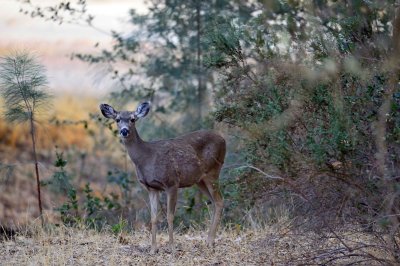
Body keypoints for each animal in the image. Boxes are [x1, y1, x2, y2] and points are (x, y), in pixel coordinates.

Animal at [99, 102, 227, 254]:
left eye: (133, 119)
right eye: (117, 119)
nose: (124, 131)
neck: (146, 158)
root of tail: (223, 139)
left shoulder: (171, 182)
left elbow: (170, 216)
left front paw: (171, 247)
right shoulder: (151, 188)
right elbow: (154, 217)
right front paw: (153, 249)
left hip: (213, 170)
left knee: (219, 201)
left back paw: (210, 241)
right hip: (200, 180)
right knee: (214, 202)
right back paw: (208, 240)